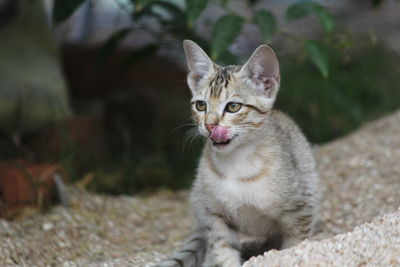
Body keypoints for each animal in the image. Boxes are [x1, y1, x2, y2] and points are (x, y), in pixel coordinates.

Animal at [155, 40, 320, 267]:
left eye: (233, 106)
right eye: (201, 105)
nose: (210, 125)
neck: (236, 162)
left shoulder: (300, 211)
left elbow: (294, 246)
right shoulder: (215, 215)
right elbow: (223, 251)